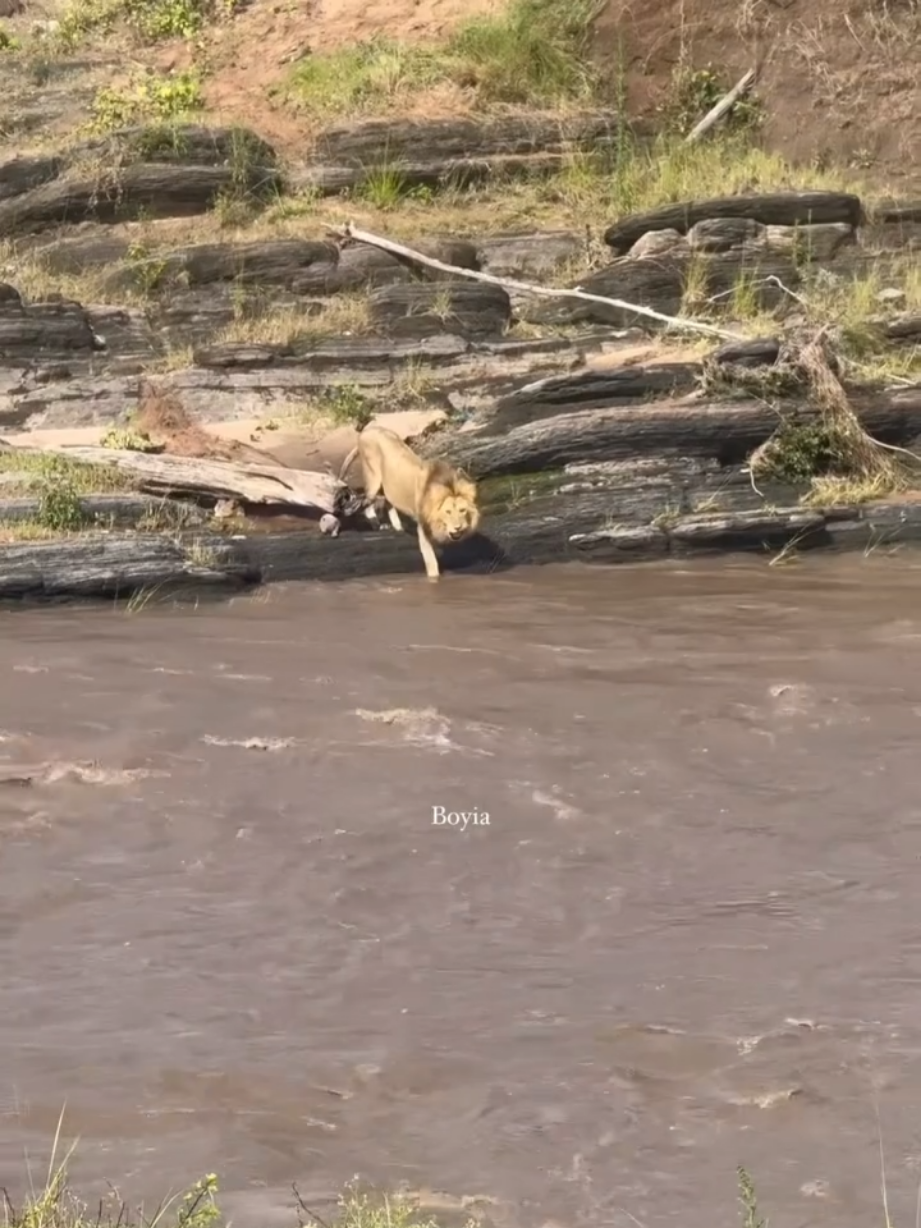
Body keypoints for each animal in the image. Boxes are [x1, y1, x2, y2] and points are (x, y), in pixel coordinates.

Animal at [339, 424, 480, 581]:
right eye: (447, 512)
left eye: (462, 510)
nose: (458, 528)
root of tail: (366, 431)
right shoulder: (423, 529)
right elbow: (431, 562)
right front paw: (434, 580)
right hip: (373, 478)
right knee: (367, 500)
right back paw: (376, 523)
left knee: (387, 501)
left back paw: (398, 527)